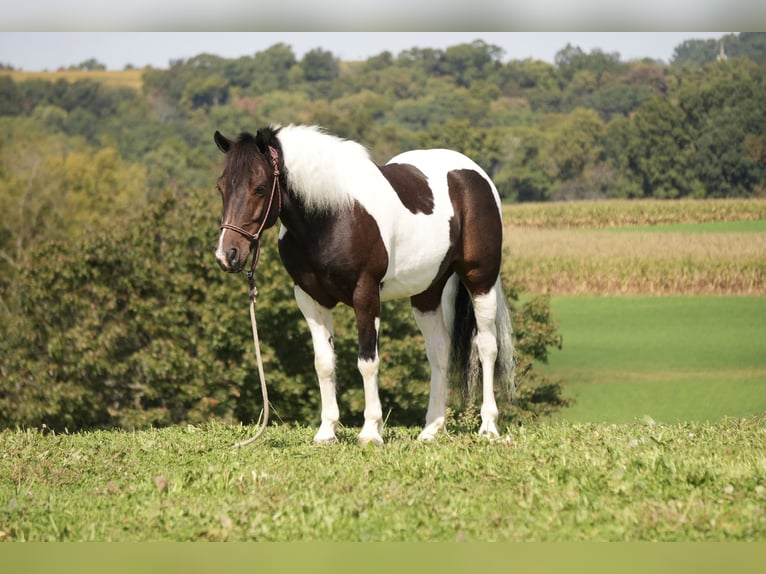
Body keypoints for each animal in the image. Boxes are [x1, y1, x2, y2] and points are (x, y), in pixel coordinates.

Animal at [213, 124, 514, 445]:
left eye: (259, 187)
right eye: (221, 187)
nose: (227, 254)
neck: (332, 216)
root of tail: (474, 175)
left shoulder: (366, 295)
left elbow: (368, 361)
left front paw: (371, 431)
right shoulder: (310, 299)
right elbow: (324, 363)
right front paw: (327, 432)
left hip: (480, 280)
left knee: (486, 347)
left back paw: (488, 426)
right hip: (427, 292)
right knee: (439, 350)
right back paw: (432, 429)